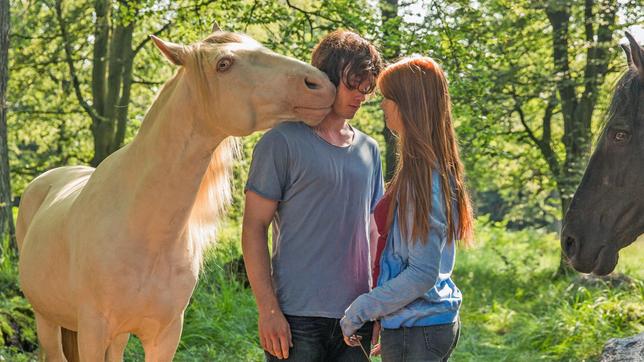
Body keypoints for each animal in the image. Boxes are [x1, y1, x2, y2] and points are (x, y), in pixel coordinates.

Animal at [15, 26, 338, 362]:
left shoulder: (165, 336)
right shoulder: (92, 332)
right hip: (46, 320)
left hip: (115, 337)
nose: (320, 83)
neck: (142, 229)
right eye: (223, 64)